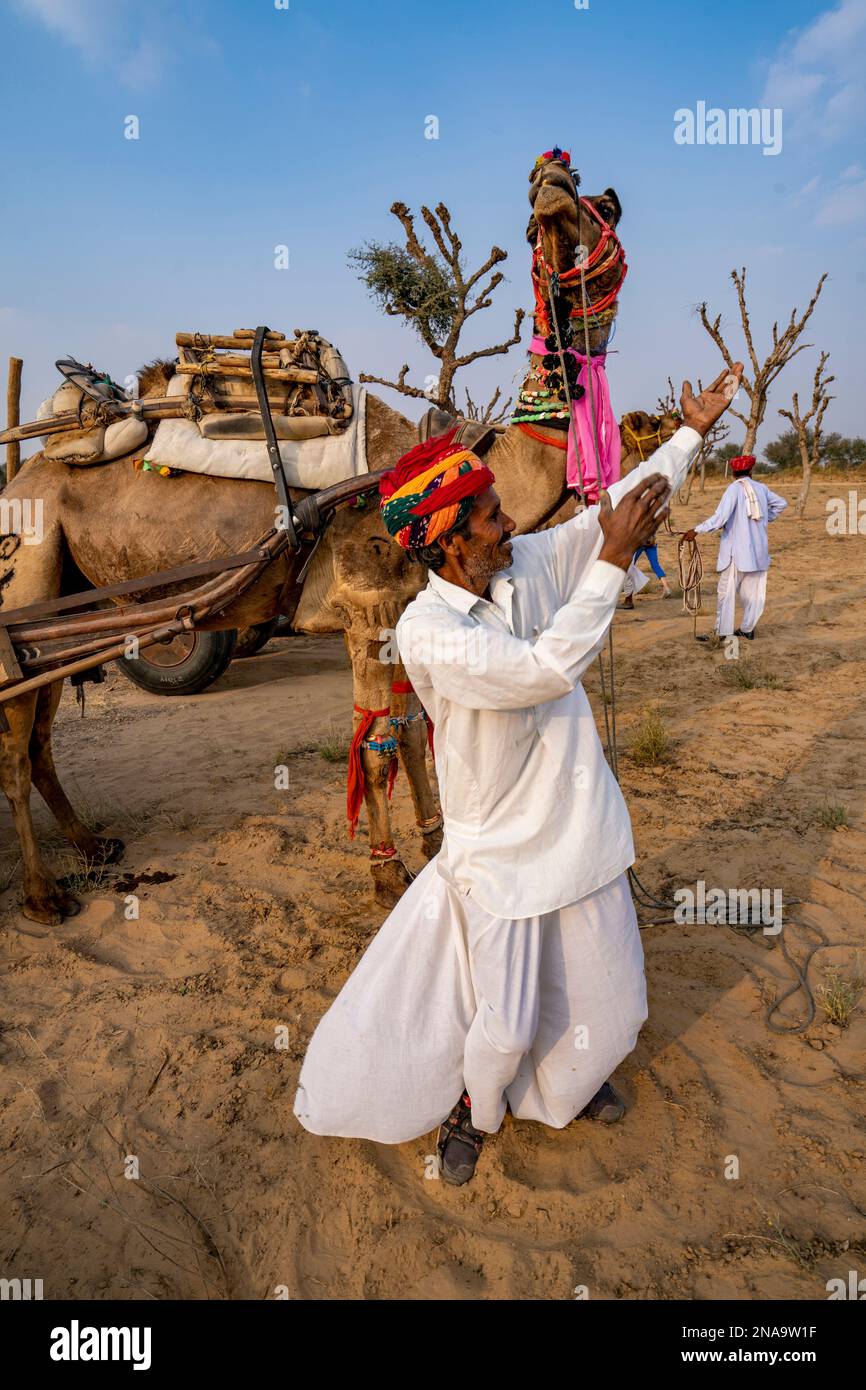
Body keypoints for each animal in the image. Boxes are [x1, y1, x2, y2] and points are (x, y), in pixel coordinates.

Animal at [0, 149, 631, 922]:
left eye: (606, 204)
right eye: (546, 197)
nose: (551, 187)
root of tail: (21, 478)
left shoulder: (404, 606)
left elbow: (414, 728)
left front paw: (433, 844)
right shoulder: (367, 601)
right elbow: (380, 737)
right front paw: (388, 877)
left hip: (66, 609)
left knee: (41, 736)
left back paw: (93, 847)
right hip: (26, 566)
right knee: (15, 744)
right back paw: (42, 895)